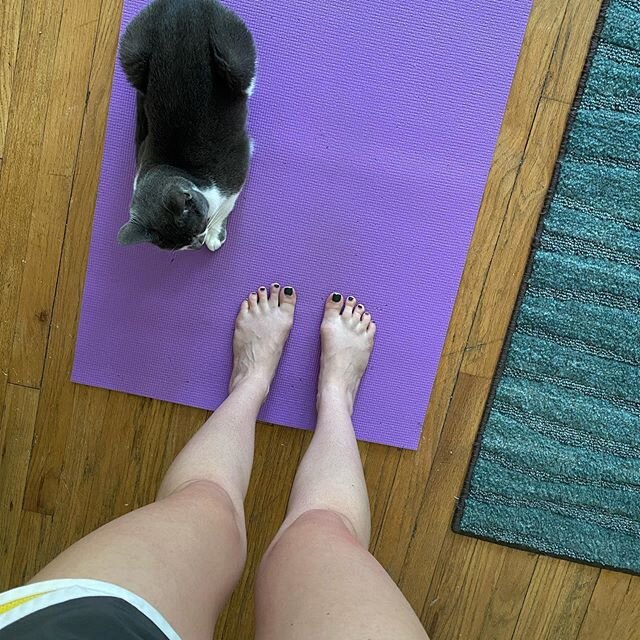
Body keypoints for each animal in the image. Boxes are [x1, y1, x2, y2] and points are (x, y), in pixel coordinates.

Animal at [116, 0, 256, 252]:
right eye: (182, 246)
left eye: (200, 226)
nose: (198, 242)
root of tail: (179, 4)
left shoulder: (235, 168)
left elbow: (226, 206)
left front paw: (216, 232)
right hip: (133, 51)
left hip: (232, 53)